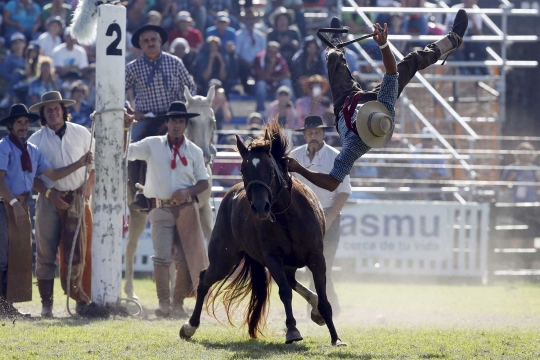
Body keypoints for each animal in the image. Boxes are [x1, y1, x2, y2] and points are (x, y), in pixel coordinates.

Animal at [180, 122, 346, 348]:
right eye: (243, 170)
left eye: (270, 170)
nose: (260, 207)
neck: (288, 216)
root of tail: (229, 197)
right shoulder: (272, 258)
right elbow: (284, 292)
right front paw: (292, 330)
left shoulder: (317, 258)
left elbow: (323, 295)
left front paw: (336, 337)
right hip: (224, 258)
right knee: (205, 278)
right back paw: (190, 326)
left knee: (294, 282)